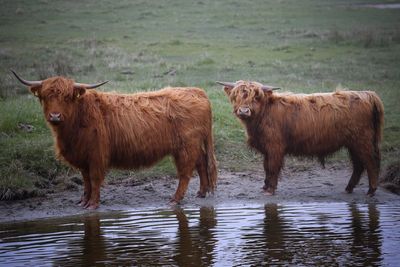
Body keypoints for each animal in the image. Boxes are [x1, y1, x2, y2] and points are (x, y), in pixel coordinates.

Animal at [12, 70, 217, 209]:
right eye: (46, 96)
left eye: (68, 97)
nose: (55, 116)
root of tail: (197, 92)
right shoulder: (83, 157)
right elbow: (86, 180)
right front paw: (83, 201)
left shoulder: (96, 155)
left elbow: (94, 179)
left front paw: (93, 204)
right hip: (192, 145)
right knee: (200, 164)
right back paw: (201, 192)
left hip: (186, 147)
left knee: (186, 172)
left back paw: (175, 199)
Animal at [219, 80, 384, 197]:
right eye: (236, 96)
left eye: (256, 97)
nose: (244, 111)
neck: (263, 115)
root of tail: (367, 94)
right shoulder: (267, 148)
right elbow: (266, 167)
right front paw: (265, 186)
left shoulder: (275, 147)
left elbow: (272, 167)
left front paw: (270, 189)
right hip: (353, 143)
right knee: (358, 165)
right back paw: (349, 188)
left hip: (362, 140)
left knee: (370, 162)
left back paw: (371, 190)